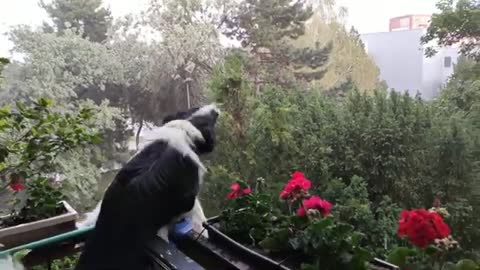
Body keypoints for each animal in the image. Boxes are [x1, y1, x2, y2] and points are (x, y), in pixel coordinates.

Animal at [74, 104, 219, 270]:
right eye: (211, 121)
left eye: (195, 106)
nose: (215, 108)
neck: (184, 126)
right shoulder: (187, 198)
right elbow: (197, 214)